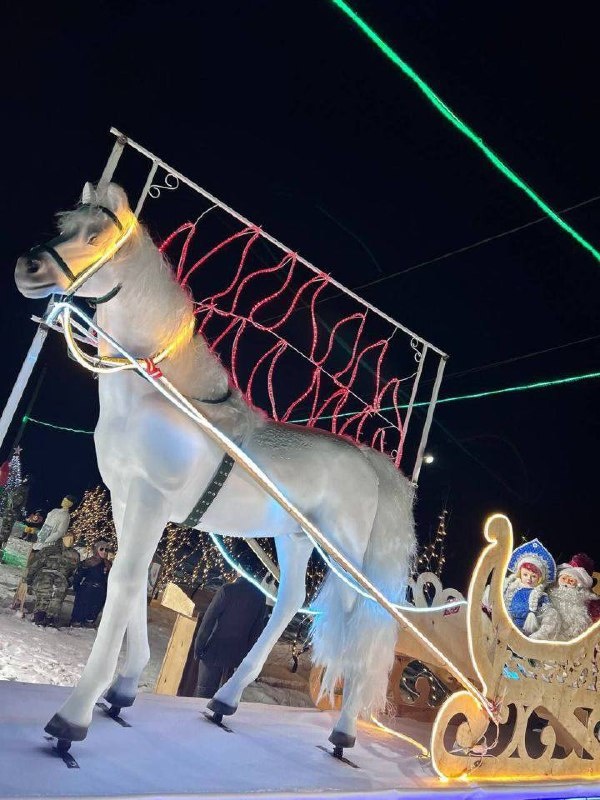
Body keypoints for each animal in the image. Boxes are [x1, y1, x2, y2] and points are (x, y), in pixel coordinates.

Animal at [14, 181, 416, 751]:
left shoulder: (150, 500)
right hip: (293, 539)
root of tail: (369, 460)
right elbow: (131, 582)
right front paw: (122, 691)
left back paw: (343, 731)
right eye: (62, 223)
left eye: (94, 236)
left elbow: (123, 584)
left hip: (343, 556)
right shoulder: (126, 498)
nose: (27, 267)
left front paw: (74, 717)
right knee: (289, 601)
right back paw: (224, 701)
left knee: (361, 620)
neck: (157, 393)